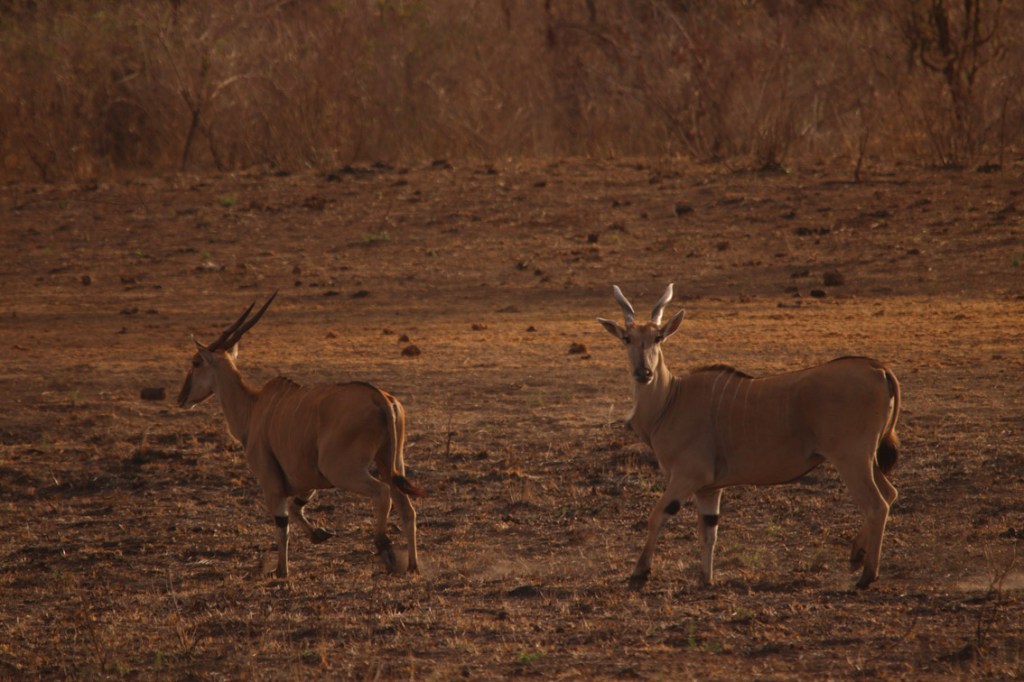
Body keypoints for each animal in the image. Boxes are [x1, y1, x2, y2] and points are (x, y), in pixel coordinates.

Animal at [177, 292, 424, 579]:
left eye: (196, 363)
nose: (182, 398)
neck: (254, 407)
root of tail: (379, 397)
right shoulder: (308, 480)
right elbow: (296, 507)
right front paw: (319, 534)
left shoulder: (272, 483)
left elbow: (282, 523)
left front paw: (281, 570)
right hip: (389, 463)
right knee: (407, 508)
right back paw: (413, 565)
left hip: (343, 471)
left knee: (382, 493)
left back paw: (385, 550)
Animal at [597, 284, 900, 590]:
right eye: (627, 338)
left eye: (658, 337)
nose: (643, 372)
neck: (671, 400)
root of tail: (878, 368)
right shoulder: (709, 488)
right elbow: (709, 531)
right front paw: (706, 579)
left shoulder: (687, 476)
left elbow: (656, 515)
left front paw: (640, 572)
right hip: (867, 459)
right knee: (889, 494)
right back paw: (856, 555)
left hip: (851, 458)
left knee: (876, 504)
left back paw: (867, 575)